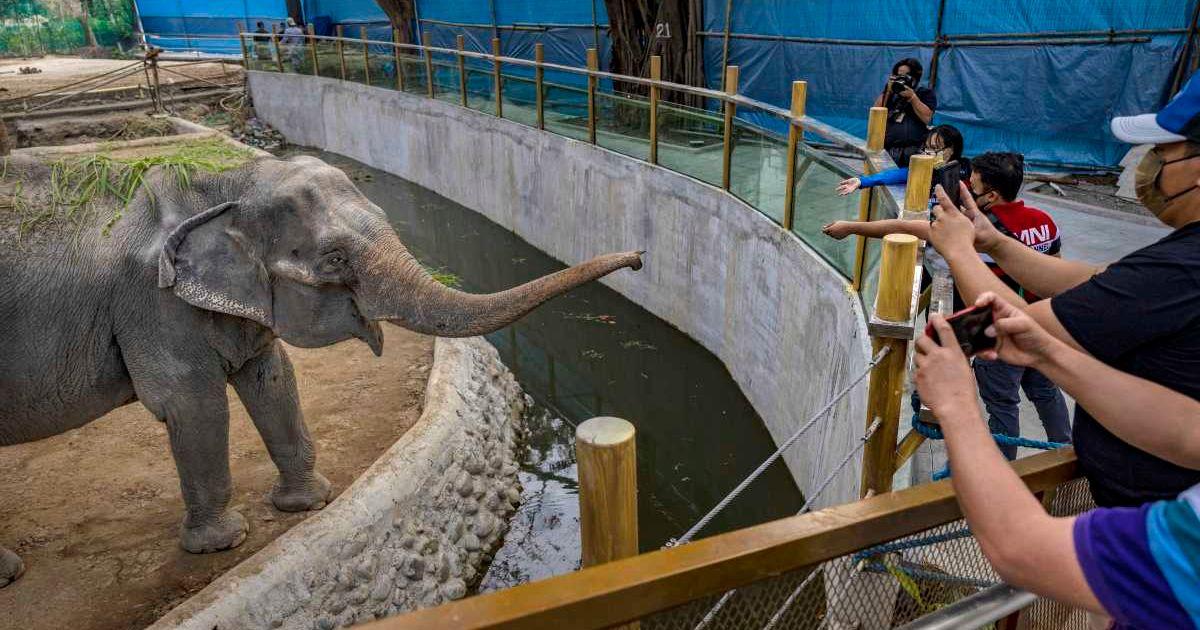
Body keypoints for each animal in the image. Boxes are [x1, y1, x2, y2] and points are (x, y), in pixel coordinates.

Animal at [0, 153, 642, 587]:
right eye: (334, 258)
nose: (637, 257)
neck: (226, 182)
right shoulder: (153, 302)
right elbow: (191, 402)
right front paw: (222, 543)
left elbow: (272, 376)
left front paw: (311, 502)